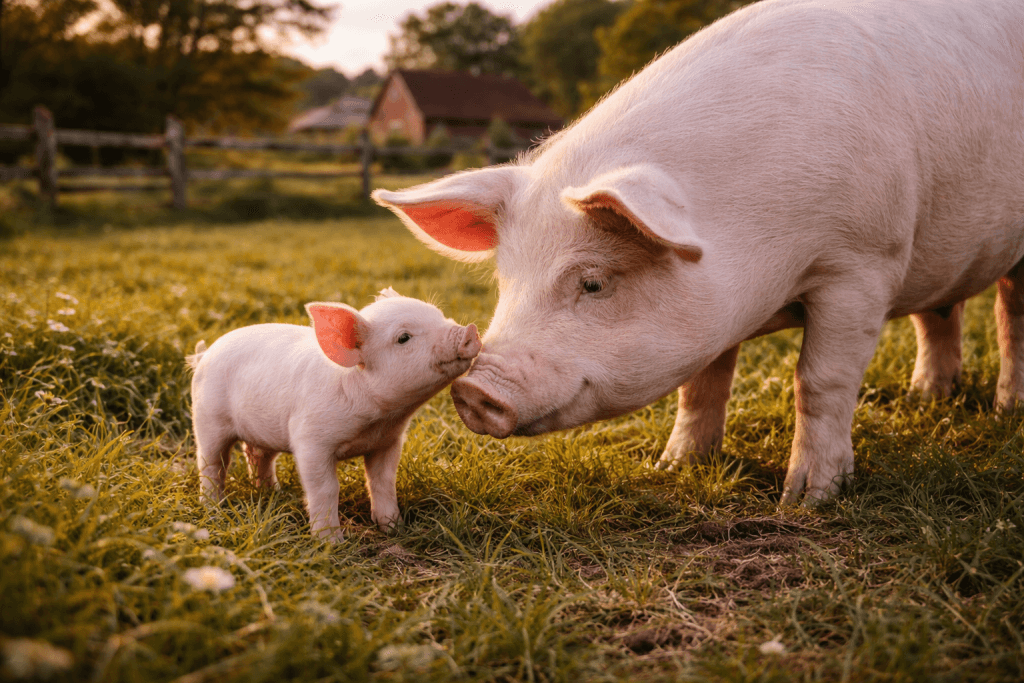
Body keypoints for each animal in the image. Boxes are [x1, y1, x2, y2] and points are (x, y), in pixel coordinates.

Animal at [186, 288, 481, 540]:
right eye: (403, 338)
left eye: (439, 314)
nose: (470, 331)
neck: (378, 420)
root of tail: (204, 355)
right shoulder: (310, 440)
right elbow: (326, 489)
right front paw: (330, 543)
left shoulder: (388, 441)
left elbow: (383, 481)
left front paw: (394, 529)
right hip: (207, 419)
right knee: (212, 465)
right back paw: (213, 508)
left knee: (259, 457)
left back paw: (272, 493)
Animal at [373, 0, 1024, 506]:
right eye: (506, 281)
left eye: (593, 282)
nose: (473, 392)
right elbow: (701, 384)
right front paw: (676, 466)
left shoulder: (862, 262)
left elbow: (819, 380)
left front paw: (808, 499)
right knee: (940, 312)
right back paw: (928, 398)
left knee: (1008, 316)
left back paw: (1005, 413)